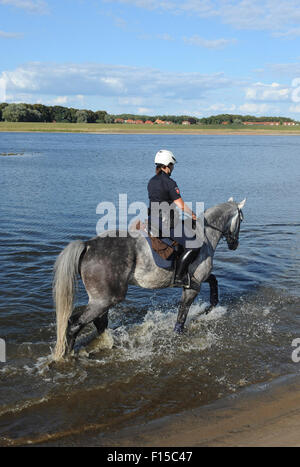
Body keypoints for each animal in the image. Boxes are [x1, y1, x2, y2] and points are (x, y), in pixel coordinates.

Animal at [51, 197, 246, 362]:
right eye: (242, 220)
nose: (234, 244)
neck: (204, 234)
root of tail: (88, 245)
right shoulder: (192, 287)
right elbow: (183, 313)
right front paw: (178, 333)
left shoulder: (197, 279)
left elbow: (214, 281)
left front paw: (211, 307)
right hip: (106, 299)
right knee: (75, 323)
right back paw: (67, 355)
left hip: (102, 299)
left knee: (98, 322)